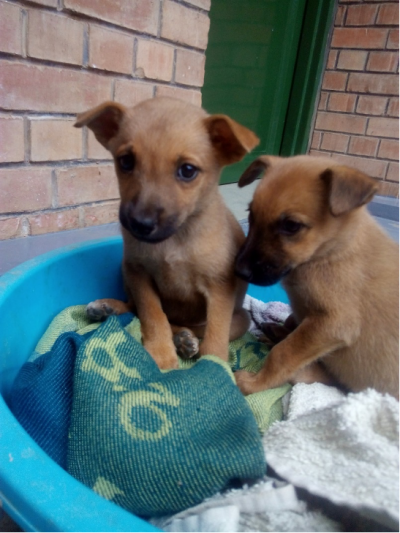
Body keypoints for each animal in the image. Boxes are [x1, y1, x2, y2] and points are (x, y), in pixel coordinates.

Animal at [74, 96, 260, 366]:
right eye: (126, 161)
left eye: (188, 170)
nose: (140, 223)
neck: (175, 240)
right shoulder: (139, 273)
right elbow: (152, 315)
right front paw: (161, 353)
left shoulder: (219, 287)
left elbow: (215, 334)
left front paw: (215, 366)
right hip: (125, 270)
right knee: (137, 310)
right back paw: (111, 308)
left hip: (242, 319)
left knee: (198, 329)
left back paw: (183, 339)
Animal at [234, 152, 400, 396]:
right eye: (251, 214)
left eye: (291, 226)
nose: (239, 271)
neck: (331, 252)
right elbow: (292, 320)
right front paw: (281, 329)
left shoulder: (333, 324)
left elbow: (283, 354)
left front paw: (255, 383)